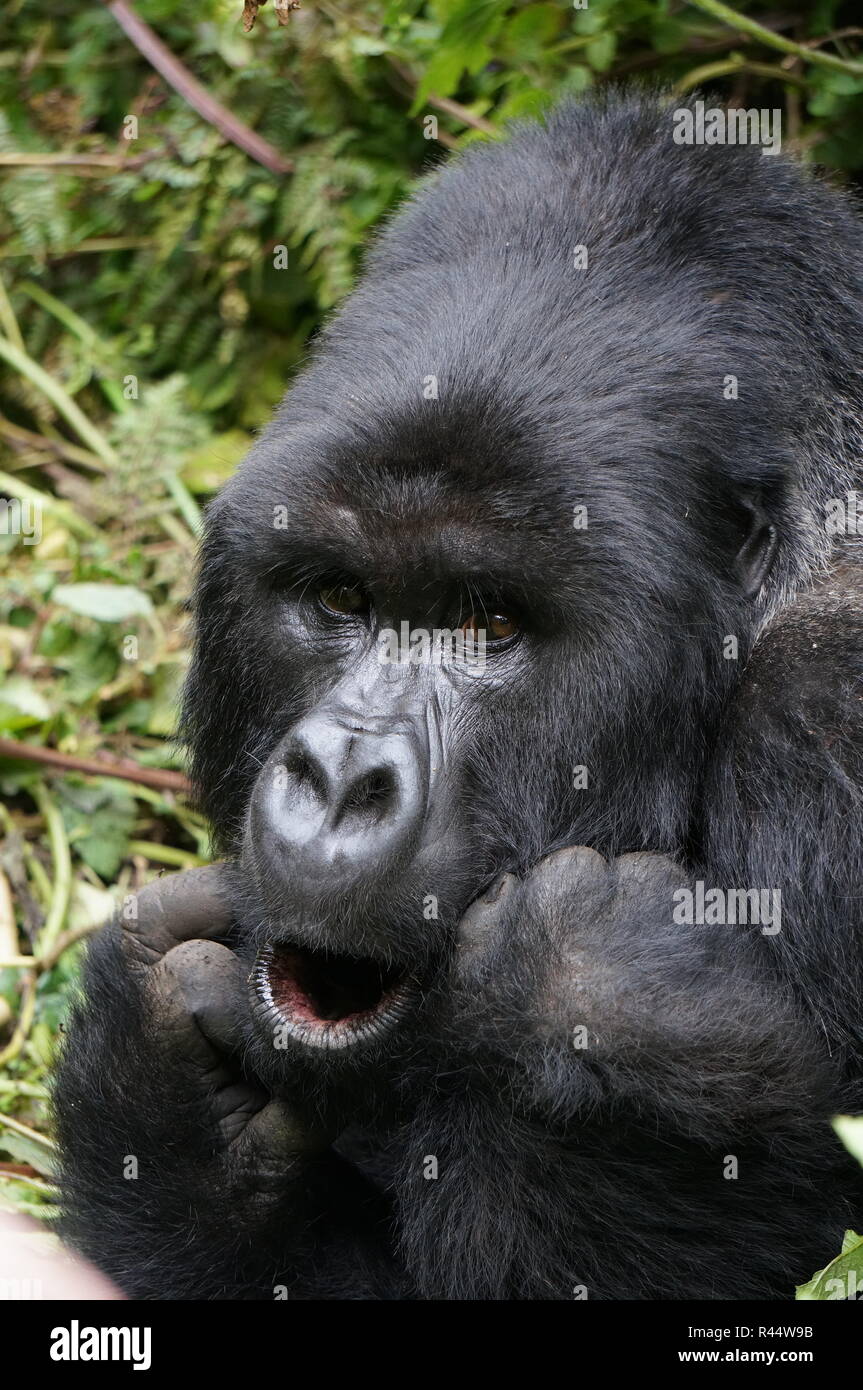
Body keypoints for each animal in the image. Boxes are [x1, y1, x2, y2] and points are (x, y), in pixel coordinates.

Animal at [55, 97, 861, 1301]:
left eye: (491, 624)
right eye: (340, 598)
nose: (340, 782)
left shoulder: (828, 700)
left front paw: (580, 990)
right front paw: (163, 1083)